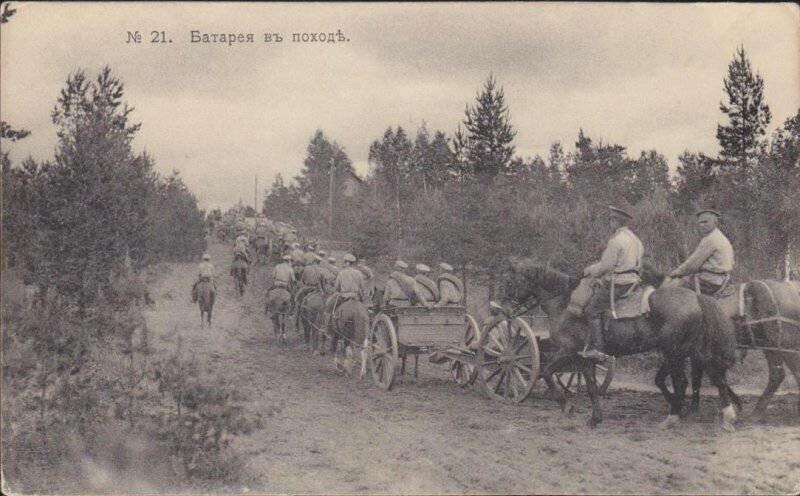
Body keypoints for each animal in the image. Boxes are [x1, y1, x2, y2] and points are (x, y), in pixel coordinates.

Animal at [496, 260, 740, 430]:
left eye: (510, 282)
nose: (503, 309)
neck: (565, 303)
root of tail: (695, 298)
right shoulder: (584, 359)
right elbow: (592, 387)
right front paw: (595, 419)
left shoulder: (568, 351)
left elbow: (546, 372)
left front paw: (566, 406)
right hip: (694, 351)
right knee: (716, 378)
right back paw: (727, 416)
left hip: (675, 353)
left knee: (682, 383)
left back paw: (673, 418)